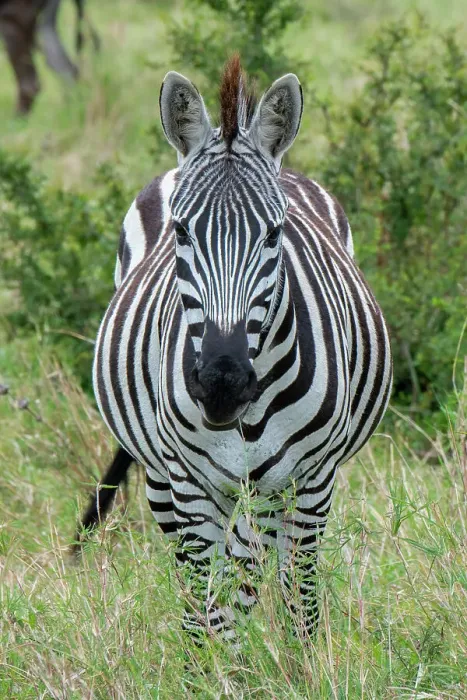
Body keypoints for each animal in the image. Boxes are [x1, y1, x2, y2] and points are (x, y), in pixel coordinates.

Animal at [80, 55, 392, 641]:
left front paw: (298, 660)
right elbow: (209, 604)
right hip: (163, 480)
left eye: (274, 235)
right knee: (197, 578)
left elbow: (294, 596)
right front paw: (212, 662)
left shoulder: (310, 480)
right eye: (181, 232)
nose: (221, 384)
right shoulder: (190, 483)